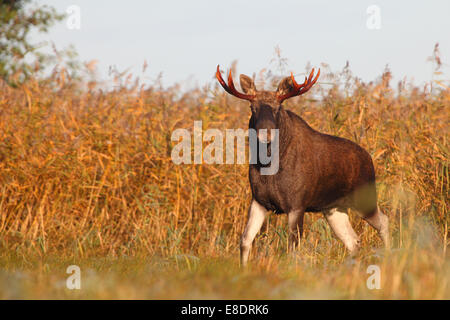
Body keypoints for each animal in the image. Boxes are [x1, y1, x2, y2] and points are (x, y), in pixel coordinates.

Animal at [216, 64, 388, 264]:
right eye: (253, 108)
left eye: (277, 108)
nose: (265, 134)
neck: (269, 167)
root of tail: (369, 158)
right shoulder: (259, 200)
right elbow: (245, 241)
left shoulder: (297, 203)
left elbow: (292, 248)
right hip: (334, 208)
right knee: (353, 240)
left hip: (365, 198)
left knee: (384, 222)